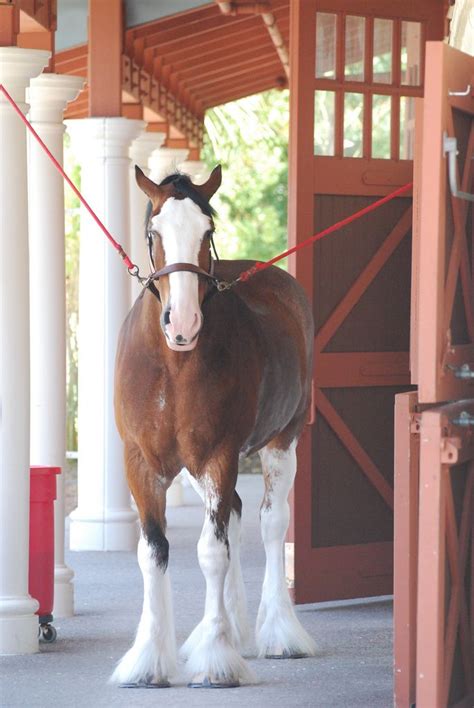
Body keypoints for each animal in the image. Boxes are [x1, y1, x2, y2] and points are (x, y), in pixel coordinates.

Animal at [111, 165, 316, 684]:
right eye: (154, 233)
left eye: (208, 231)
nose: (182, 322)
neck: (173, 365)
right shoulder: (142, 463)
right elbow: (153, 551)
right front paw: (150, 659)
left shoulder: (219, 456)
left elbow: (211, 552)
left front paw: (216, 659)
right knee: (237, 515)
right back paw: (230, 625)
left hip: (283, 440)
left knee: (269, 523)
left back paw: (279, 632)